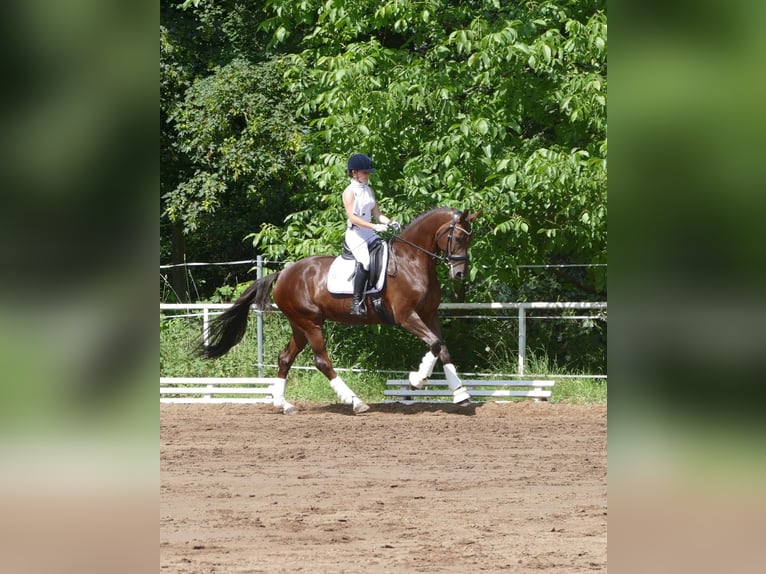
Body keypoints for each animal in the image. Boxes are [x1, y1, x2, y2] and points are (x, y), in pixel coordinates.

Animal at [201, 207, 484, 414]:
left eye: (470, 239)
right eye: (459, 237)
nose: (460, 274)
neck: (412, 261)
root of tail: (283, 273)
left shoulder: (429, 315)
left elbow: (442, 348)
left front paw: (461, 394)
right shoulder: (406, 317)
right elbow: (434, 344)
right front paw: (416, 381)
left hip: (300, 325)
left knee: (285, 358)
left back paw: (284, 404)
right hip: (311, 323)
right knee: (322, 361)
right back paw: (355, 402)